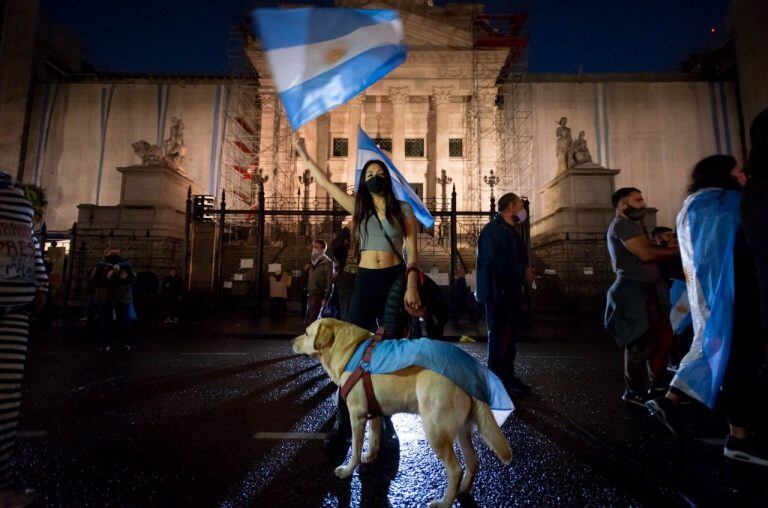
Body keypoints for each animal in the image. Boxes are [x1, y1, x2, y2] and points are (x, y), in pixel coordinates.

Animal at [292, 320, 512, 506]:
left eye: (306, 333)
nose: (292, 341)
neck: (350, 350)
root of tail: (472, 372)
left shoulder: (357, 415)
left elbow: (354, 448)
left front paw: (347, 470)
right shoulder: (374, 413)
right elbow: (374, 438)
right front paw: (370, 457)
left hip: (436, 432)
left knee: (456, 470)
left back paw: (444, 503)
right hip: (461, 431)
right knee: (473, 462)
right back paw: (463, 491)